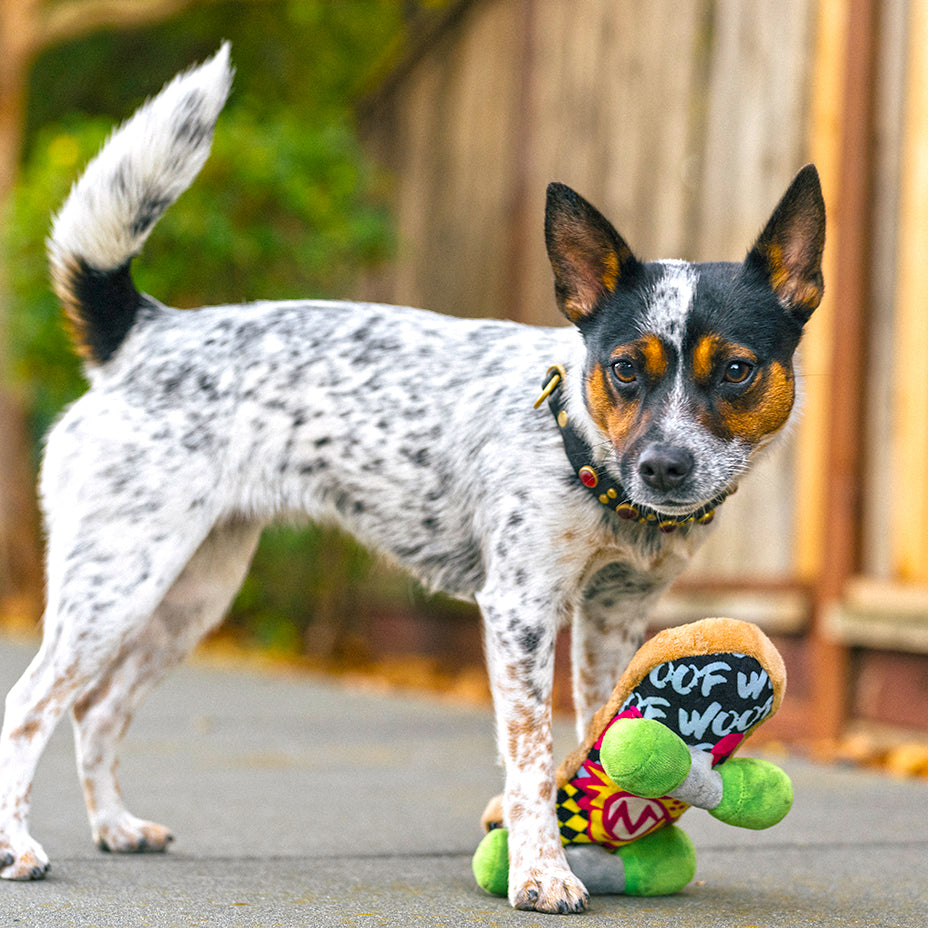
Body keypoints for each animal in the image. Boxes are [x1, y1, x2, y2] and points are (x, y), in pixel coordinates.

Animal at [0, 45, 824, 912]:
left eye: (735, 370)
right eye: (627, 369)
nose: (664, 466)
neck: (587, 460)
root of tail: (145, 333)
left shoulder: (614, 615)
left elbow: (599, 726)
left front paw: (609, 834)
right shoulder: (521, 612)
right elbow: (531, 758)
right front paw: (541, 871)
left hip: (191, 594)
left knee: (98, 711)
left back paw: (116, 827)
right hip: (117, 585)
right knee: (29, 707)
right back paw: (19, 845)